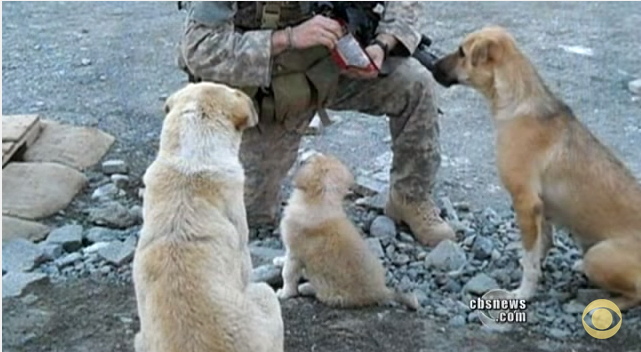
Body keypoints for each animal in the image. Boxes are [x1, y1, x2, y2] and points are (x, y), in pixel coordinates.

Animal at [272, 153, 418, 310]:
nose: (301, 154)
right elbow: (285, 259)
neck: (321, 201)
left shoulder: (295, 253)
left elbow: (287, 274)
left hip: (331, 291)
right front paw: (279, 260)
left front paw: (284, 293)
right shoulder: (291, 251)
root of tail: (382, 291)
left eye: (305, 161)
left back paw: (305, 287)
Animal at [430, 26, 640, 310]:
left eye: (462, 52)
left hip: (599, 255)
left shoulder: (525, 202)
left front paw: (522, 294)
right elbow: (540, 247)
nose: (432, 65)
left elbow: (531, 260)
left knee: (636, 293)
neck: (518, 102)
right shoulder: (541, 208)